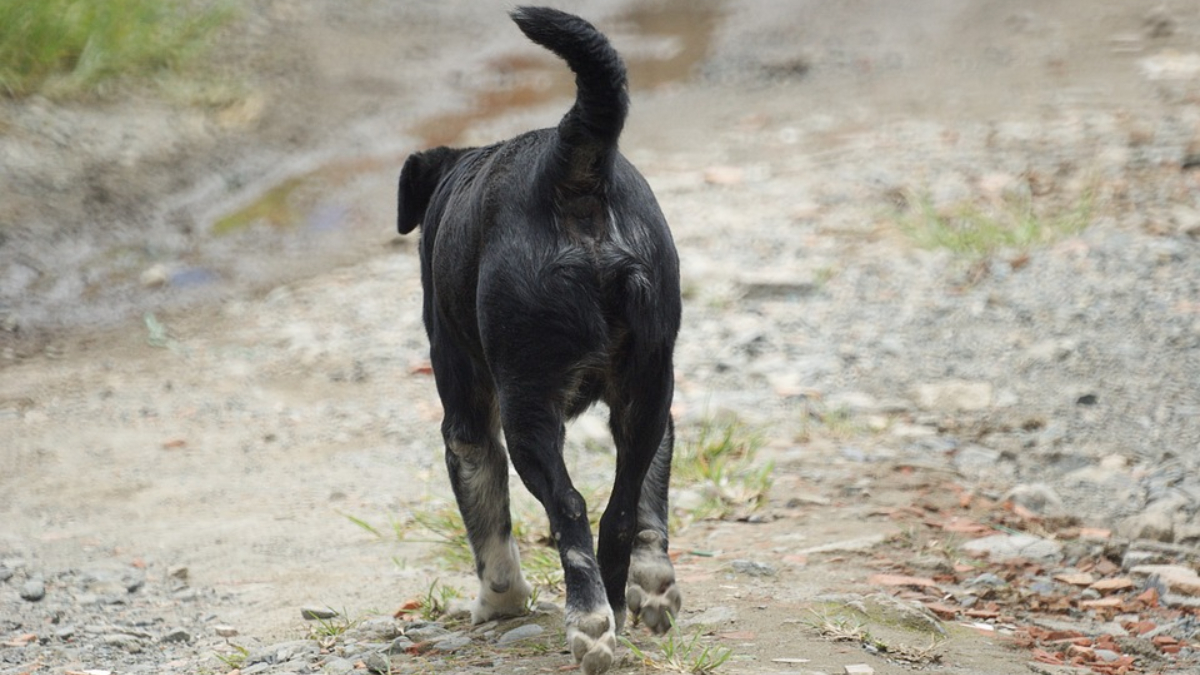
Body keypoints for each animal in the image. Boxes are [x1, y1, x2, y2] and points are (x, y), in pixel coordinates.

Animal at [398, 6, 681, 672]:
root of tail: (571, 168)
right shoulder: (657, 406)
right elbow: (650, 499)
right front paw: (653, 586)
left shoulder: (467, 422)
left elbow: (489, 525)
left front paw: (499, 602)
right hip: (647, 385)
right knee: (618, 509)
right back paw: (614, 607)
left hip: (526, 409)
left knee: (570, 507)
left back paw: (589, 623)